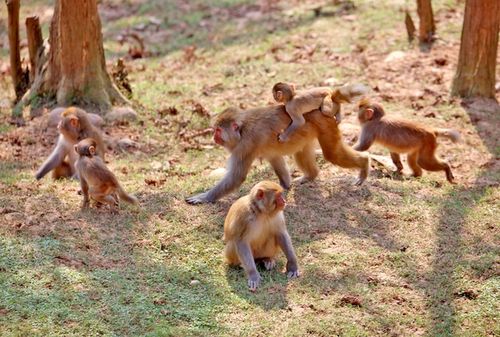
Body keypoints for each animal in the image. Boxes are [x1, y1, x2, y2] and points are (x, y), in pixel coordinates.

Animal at [186, 84, 370, 205]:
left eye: (218, 131)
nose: (213, 137)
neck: (242, 131)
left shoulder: (245, 146)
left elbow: (236, 177)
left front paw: (204, 197)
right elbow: (275, 158)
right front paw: (284, 186)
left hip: (326, 124)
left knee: (332, 154)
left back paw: (364, 164)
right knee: (301, 152)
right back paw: (310, 176)